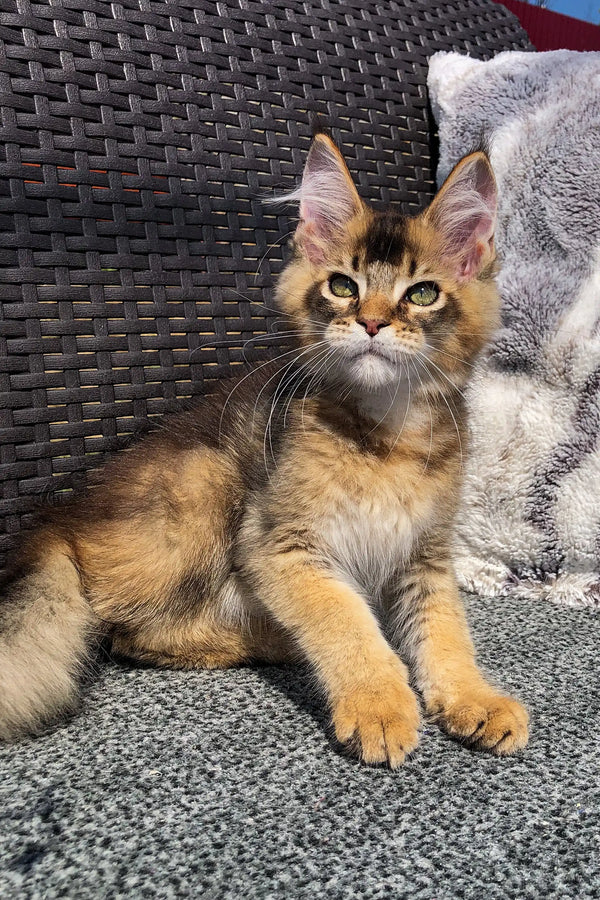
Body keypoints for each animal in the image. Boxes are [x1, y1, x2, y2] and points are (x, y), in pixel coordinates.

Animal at [0, 135, 528, 768]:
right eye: (343, 286)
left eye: (422, 293)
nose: (373, 323)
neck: (386, 439)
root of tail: (60, 517)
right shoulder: (279, 544)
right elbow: (346, 624)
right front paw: (378, 704)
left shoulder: (424, 554)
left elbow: (447, 631)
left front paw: (473, 698)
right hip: (206, 477)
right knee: (132, 635)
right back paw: (271, 638)